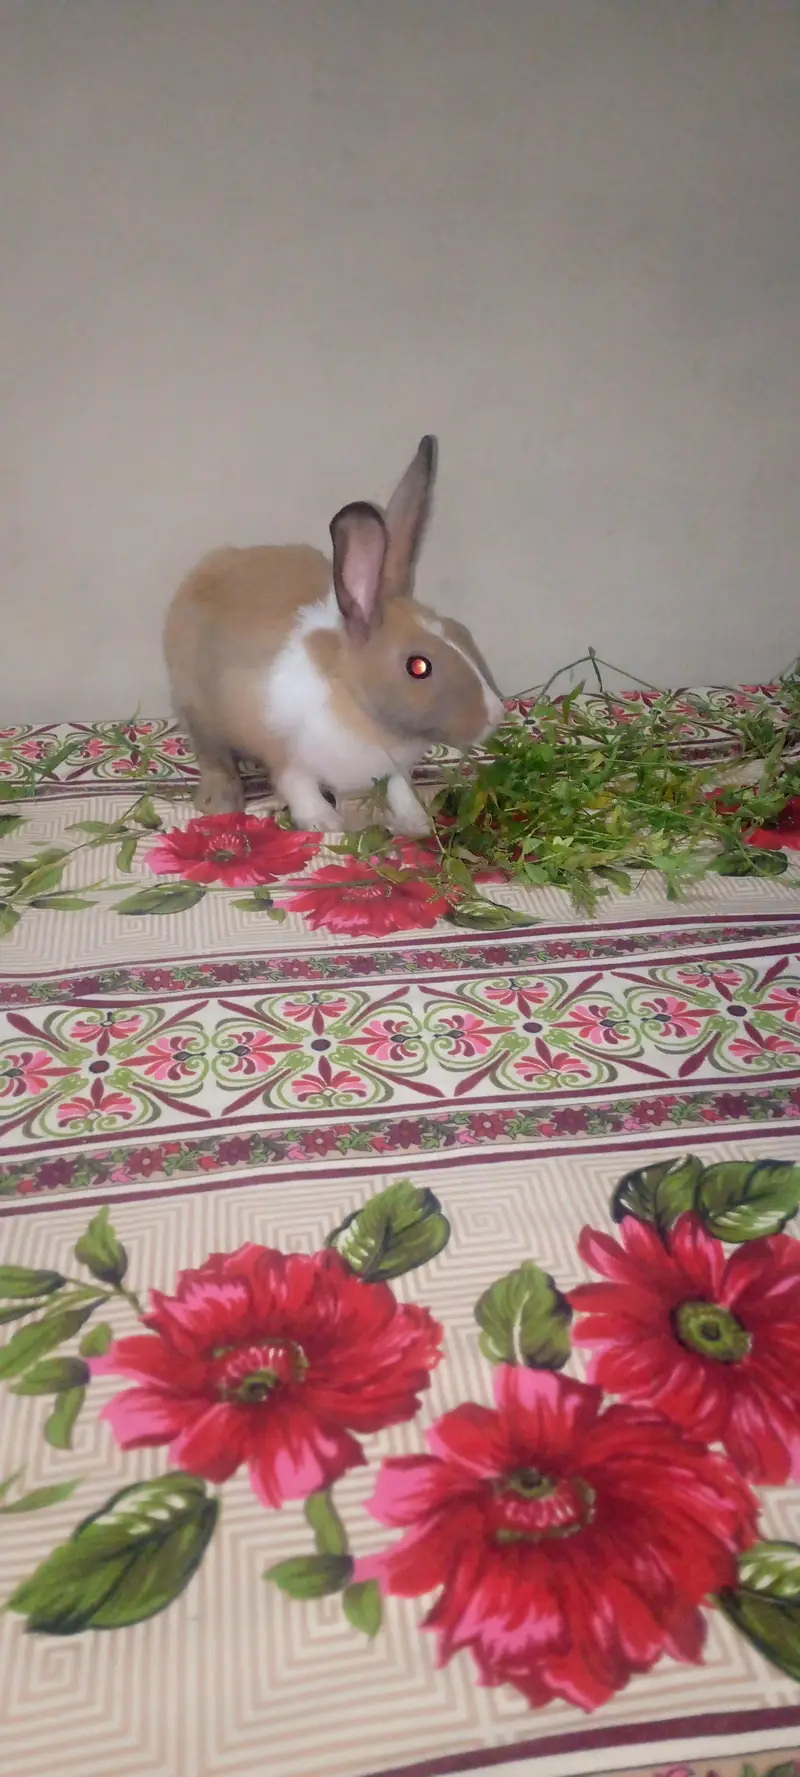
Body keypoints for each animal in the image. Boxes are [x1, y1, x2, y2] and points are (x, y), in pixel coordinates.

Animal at [163, 436, 505, 836]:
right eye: (418, 666)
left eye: (460, 631)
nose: (495, 715)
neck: (356, 702)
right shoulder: (286, 754)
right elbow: (298, 786)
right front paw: (326, 825)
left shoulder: (392, 769)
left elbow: (401, 791)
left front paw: (417, 823)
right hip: (196, 707)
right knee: (213, 756)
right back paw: (220, 802)